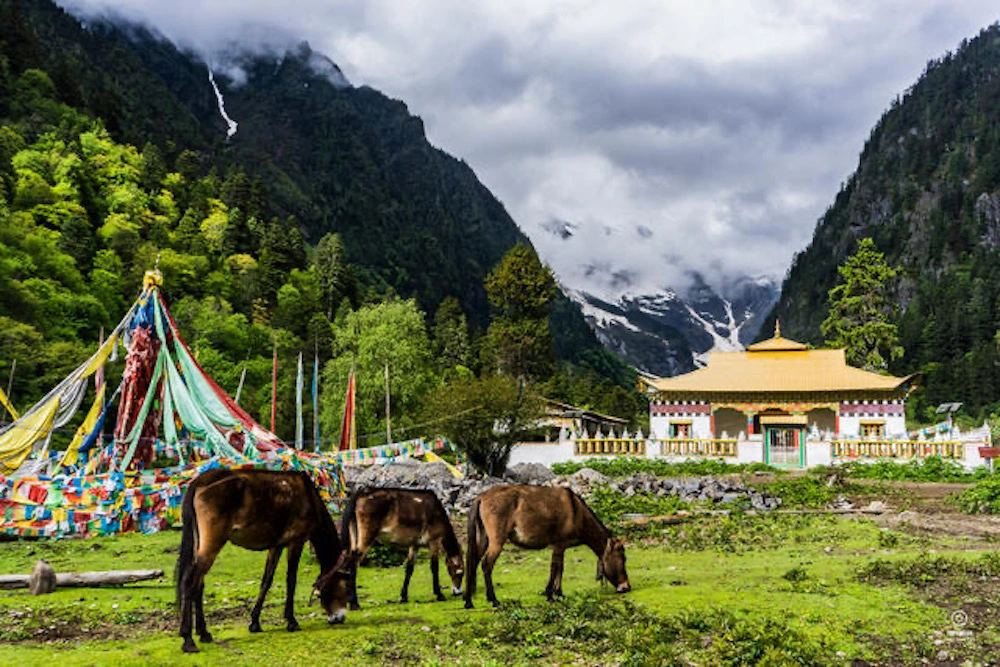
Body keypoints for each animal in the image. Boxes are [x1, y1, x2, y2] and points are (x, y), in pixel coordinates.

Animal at [174, 470, 354, 652]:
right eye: (346, 587)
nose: (340, 618)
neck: (309, 496)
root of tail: (199, 481)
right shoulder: (296, 541)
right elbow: (291, 580)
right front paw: (291, 621)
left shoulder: (276, 545)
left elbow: (266, 581)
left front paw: (255, 622)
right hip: (213, 542)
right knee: (189, 581)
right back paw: (188, 639)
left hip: (201, 544)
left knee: (199, 584)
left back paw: (203, 632)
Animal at [462, 486, 632, 612]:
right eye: (623, 558)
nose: (626, 587)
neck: (577, 512)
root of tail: (481, 497)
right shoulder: (559, 544)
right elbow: (555, 567)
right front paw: (550, 594)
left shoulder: (561, 547)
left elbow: (560, 568)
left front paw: (559, 593)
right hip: (497, 541)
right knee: (486, 565)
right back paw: (493, 599)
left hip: (483, 538)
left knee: (473, 562)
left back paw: (468, 600)